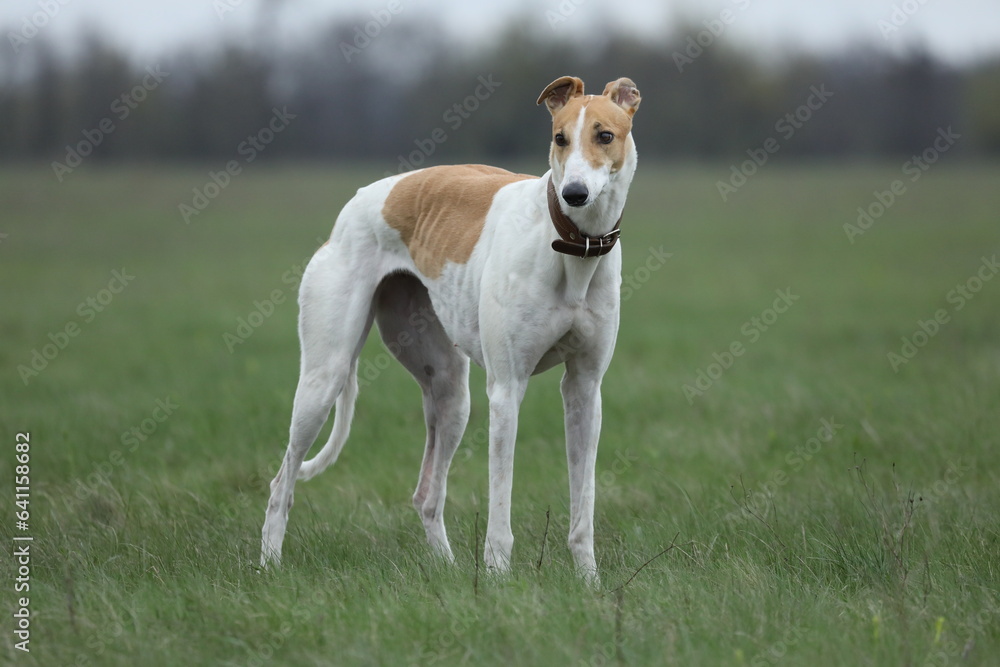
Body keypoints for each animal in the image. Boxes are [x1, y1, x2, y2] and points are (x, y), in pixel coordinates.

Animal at [262, 75, 644, 580]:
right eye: (559, 138)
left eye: (605, 135)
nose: (574, 194)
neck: (571, 244)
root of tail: (359, 200)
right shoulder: (506, 390)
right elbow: (500, 506)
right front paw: (498, 579)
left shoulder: (585, 389)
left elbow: (583, 504)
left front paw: (589, 582)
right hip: (324, 378)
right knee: (281, 482)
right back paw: (267, 565)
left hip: (450, 392)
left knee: (427, 494)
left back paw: (446, 568)